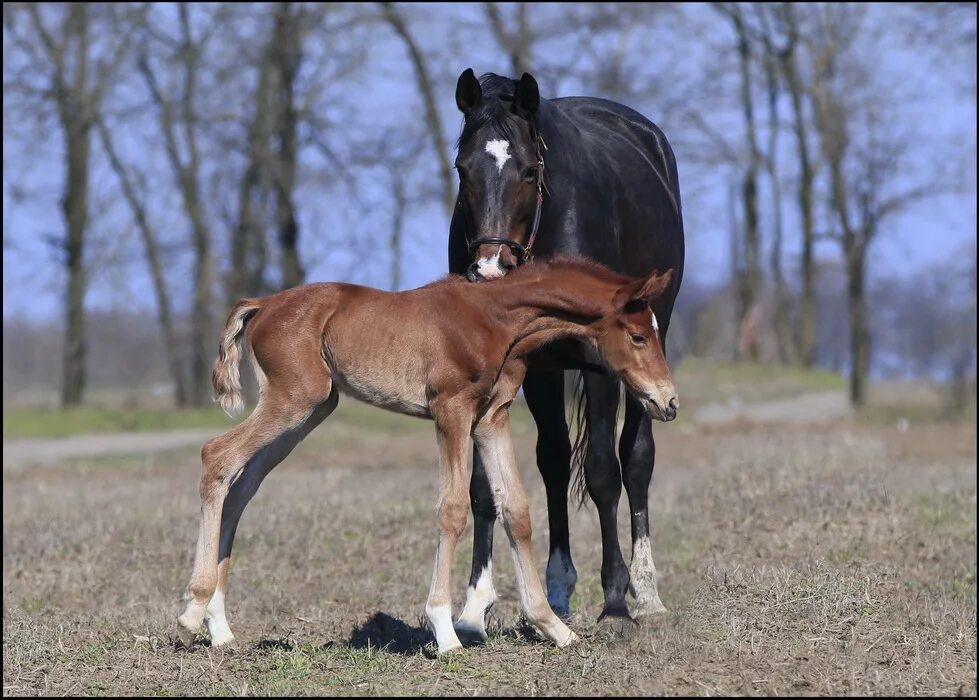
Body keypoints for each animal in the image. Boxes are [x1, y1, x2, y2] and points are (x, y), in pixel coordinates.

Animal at [176, 258, 676, 656]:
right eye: (637, 336)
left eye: (654, 333)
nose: (668, 402)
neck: (493, 318)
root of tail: (263, 303)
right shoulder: (451, 410)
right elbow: (452, 509)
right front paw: (445, 631)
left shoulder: (490, 417)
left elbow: (516, 508)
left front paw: (553, 627)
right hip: (294, 399)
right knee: (216, 456)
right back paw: (192, 611)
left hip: (310, 409)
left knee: (242, 486)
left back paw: (219, 628)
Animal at [448, 69, 684, 636]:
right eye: (462, 168)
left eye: (529, 170)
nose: (489, 271)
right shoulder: (520, 369)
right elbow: (489, 485)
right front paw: (474, 606)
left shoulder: (602, 365)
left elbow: (602, 472)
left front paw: (616, 604)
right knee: (554, 461)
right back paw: (557, 591)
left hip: (648, 357)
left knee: (635, 459)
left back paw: (646, 593)